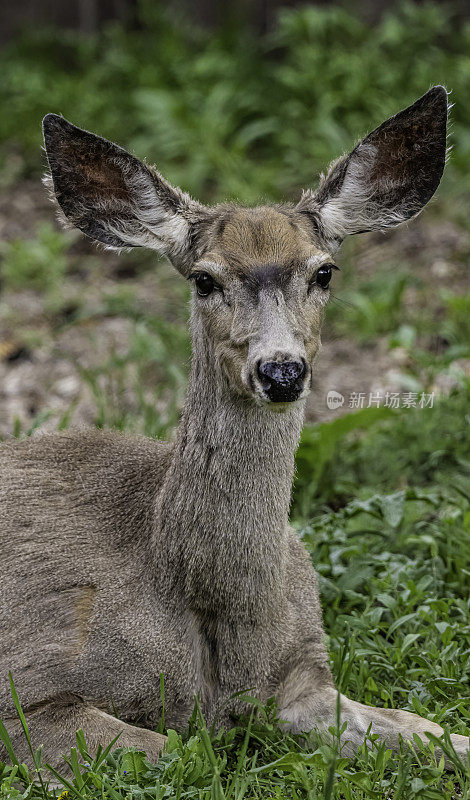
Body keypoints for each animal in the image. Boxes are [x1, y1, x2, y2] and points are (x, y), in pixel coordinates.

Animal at [1, 86, 468, 768]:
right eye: (204, 279)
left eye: (323, 271)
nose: (281, 370)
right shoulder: (27, 686)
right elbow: (183, 752)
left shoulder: (306, 676)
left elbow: (433, 730)